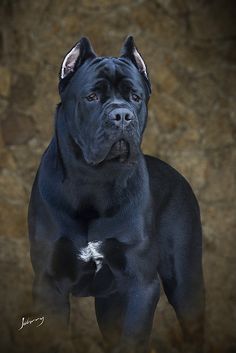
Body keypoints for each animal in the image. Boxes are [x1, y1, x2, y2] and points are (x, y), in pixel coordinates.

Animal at [28, 36, 205, 352]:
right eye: (91, 97)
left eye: (135, 97)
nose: (122, 115)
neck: (94, 179)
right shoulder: (49, 282)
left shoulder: (140, 283)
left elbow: (133, 336)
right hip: (109, 303)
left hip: (185, 284)